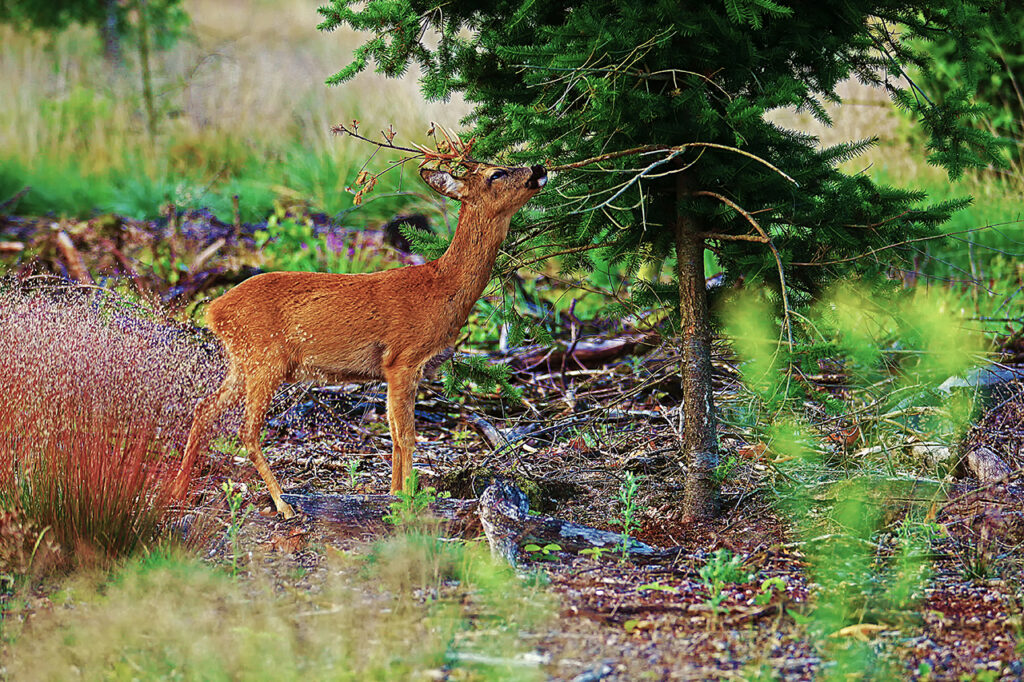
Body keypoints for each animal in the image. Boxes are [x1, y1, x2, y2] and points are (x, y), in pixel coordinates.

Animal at [172, 161, 548, 518]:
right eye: (496, 173)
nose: (539, 169)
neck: (441, 287)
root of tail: (213, 311)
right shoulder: (402, 359)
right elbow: (406, 435)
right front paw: (408, 500)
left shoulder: (393, 370)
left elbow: (393, 433)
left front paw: (394, 494)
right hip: (266, 359)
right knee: (247, 431)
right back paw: (283, 504)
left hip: (244, 362)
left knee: (204, 408)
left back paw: (179, 490)